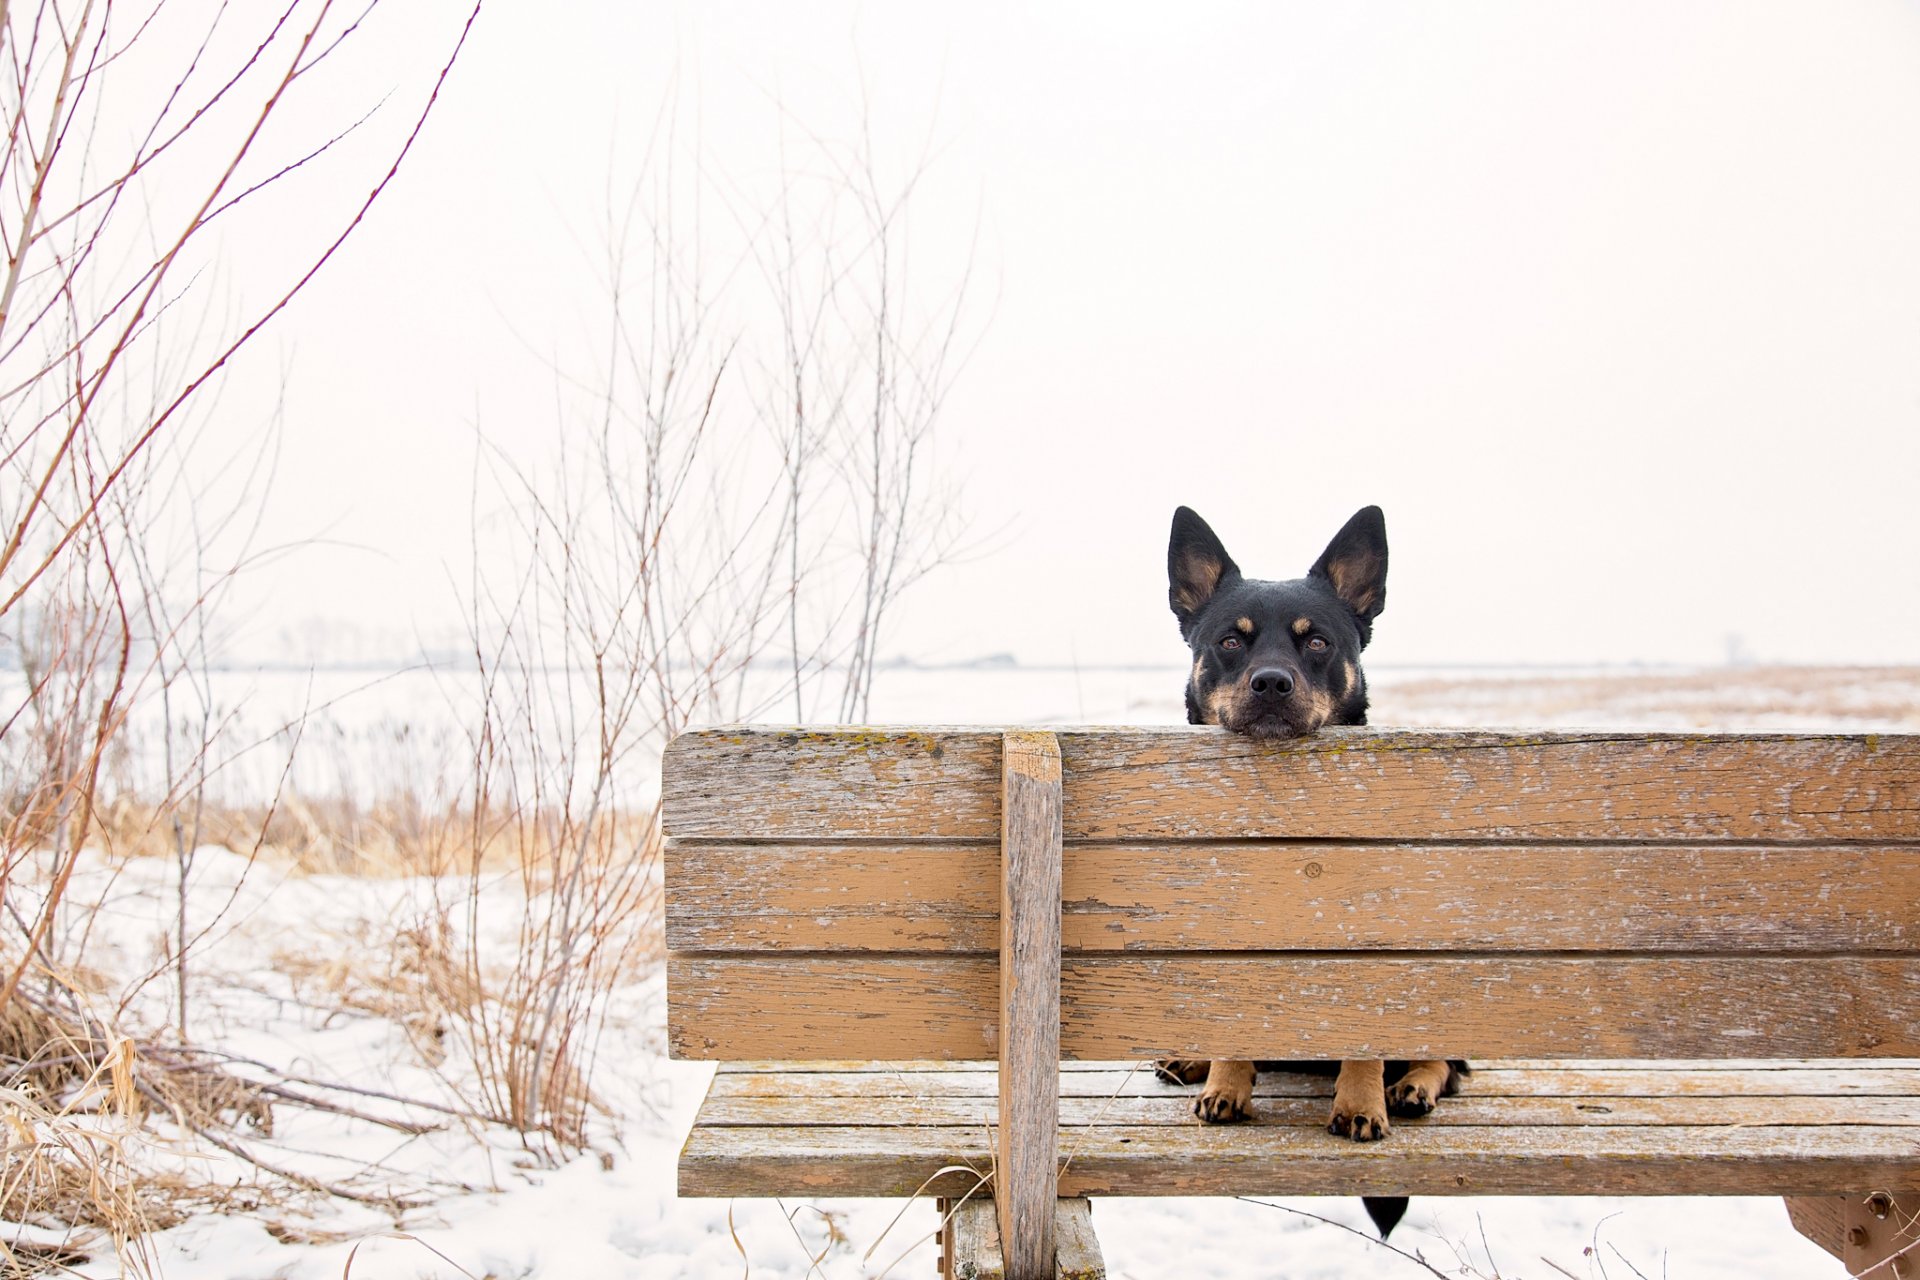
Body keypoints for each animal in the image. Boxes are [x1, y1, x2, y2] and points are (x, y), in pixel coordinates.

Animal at [1152, 502, 1466, 1243]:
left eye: (1316, 642)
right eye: (1231, 642)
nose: (1271, 683)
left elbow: (1365, 1039)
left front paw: (1362, 1103)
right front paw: (1225, 1082)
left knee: (1449, 1059)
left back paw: (1413, 1084)